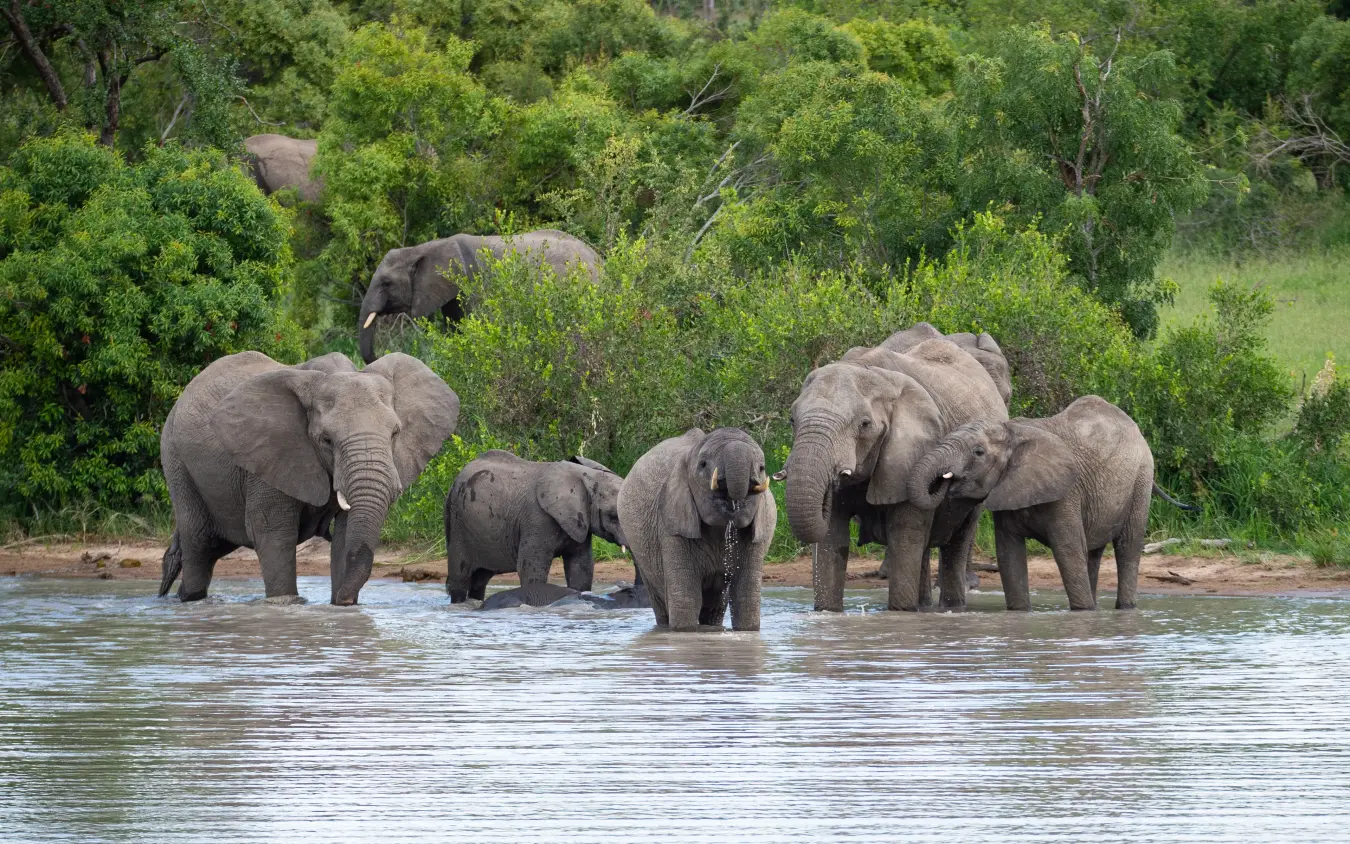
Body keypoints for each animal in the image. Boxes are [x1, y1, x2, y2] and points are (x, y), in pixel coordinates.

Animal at [157, 351, 458, 605]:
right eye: (326, 440)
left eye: (395, 433)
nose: (346, 599)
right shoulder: (270, 456)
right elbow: (273, 533)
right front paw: (288, 603)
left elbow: (346, 534)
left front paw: (341, 606)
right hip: (176, 459)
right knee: (199, 543)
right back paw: (188, 598)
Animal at [444, 451, 629, 603]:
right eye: (613, 516)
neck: (587, 477)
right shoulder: (537, 519)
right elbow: (531, 569)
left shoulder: (580, 522)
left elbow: (581, 569)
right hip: (457, 524)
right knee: (460, 578)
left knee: (480, 579)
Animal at [617, 428, 776, 632]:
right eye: (703, 465)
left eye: (762, 468)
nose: (732, 501)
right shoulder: (672, 525)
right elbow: (686, 597)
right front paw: (686, 632)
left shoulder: (756, 536)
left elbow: (745, 596)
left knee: (716, 605)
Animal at [784, 329, 1008, 613]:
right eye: (792, 420)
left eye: (864, 424)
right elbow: (832, 537)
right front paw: (828, 613)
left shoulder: (913, 448)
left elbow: (904, 535)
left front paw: (900, 612)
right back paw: (924, 606)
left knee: (957, 539)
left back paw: (952, 607)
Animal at [906, 395, 1155, 611]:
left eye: (978, 452)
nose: (943, 481)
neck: (1013, 432)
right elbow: (1009, 554)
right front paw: (1020, 612)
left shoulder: (1067, 491)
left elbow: (1069, 551)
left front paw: (1083, 611)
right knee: (1093, 553)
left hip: (1142, 478)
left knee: (1128, 546)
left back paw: (1125, 607)